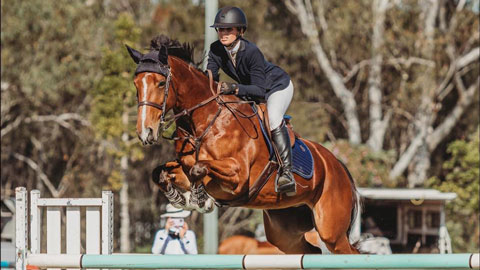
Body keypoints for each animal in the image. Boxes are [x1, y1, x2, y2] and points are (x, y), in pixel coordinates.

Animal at [127, 34, 360, 254]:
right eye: (136, 84)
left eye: (160, 83)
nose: (145, 132)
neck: (206, 121)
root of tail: (338, 165)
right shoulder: (185, 167)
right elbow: (161, 172)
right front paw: (179, 199)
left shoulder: (237, 176)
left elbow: (199, 168)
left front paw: (199, 199)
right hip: (284, 230)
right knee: (311, 250)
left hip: (330, 230)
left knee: (349, 250)